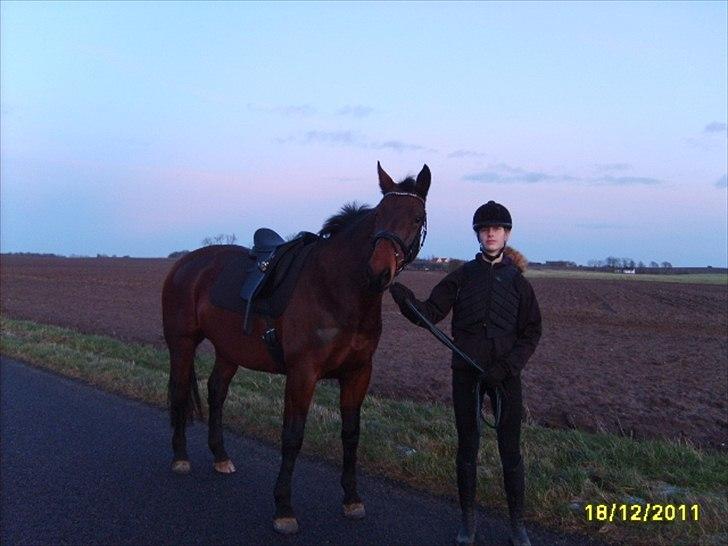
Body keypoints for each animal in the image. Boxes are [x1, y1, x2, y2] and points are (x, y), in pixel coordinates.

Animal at [162, 160, 430, 532]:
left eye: (417, 218)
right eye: (379, 215)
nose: (378, 273)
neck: (336, 289)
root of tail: (185, 263)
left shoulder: (358, 373)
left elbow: (351, 434)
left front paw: (351, 498)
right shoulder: (303, 374)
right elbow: (292, 436)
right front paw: (284, 507)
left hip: (229, 351)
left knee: (217, 392)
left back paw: (221, 456)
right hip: (182, 343)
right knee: (178, 391)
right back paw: (181, 457)